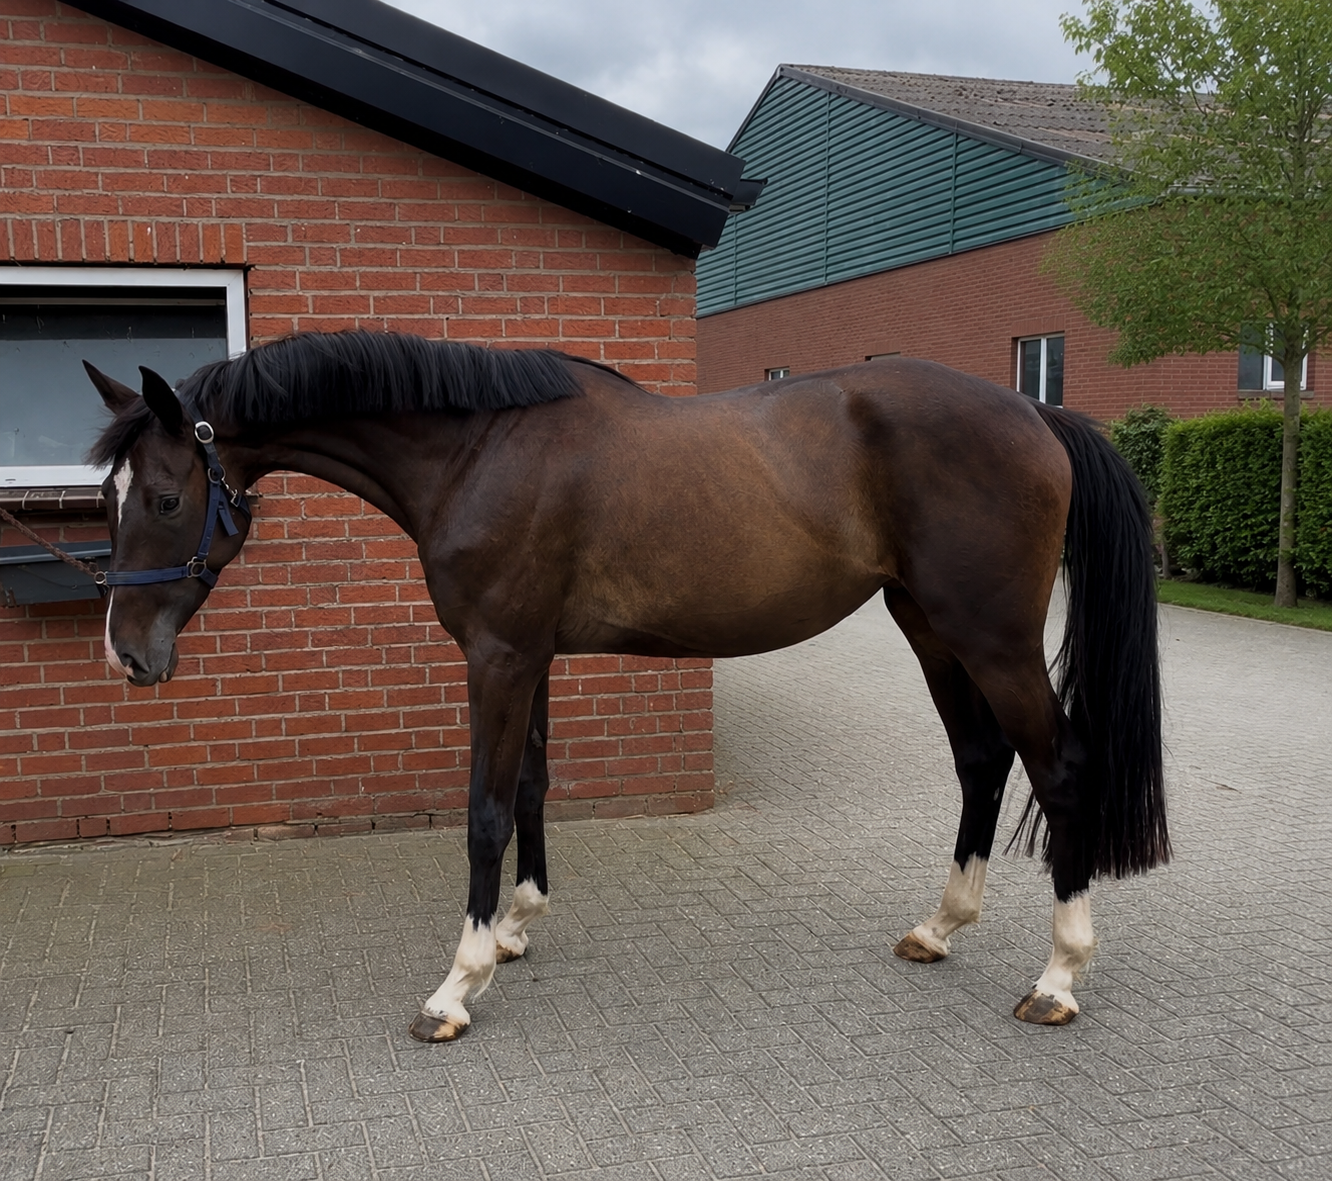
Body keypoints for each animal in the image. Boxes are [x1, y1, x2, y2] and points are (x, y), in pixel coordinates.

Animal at [83, 330, 1168, 1042]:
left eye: (166, 497)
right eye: (108, 494)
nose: (125, 654)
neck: (478, 448)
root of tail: (1035, 411)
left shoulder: (499, 654)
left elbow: (483, 810)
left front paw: (458, 983)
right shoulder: (529, 653)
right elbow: (529, 784)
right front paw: (516, 927)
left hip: (993, 638)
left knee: (1059, 768)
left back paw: (1059, 976)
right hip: (929, 624)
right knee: (982, 760)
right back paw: (938, 928)